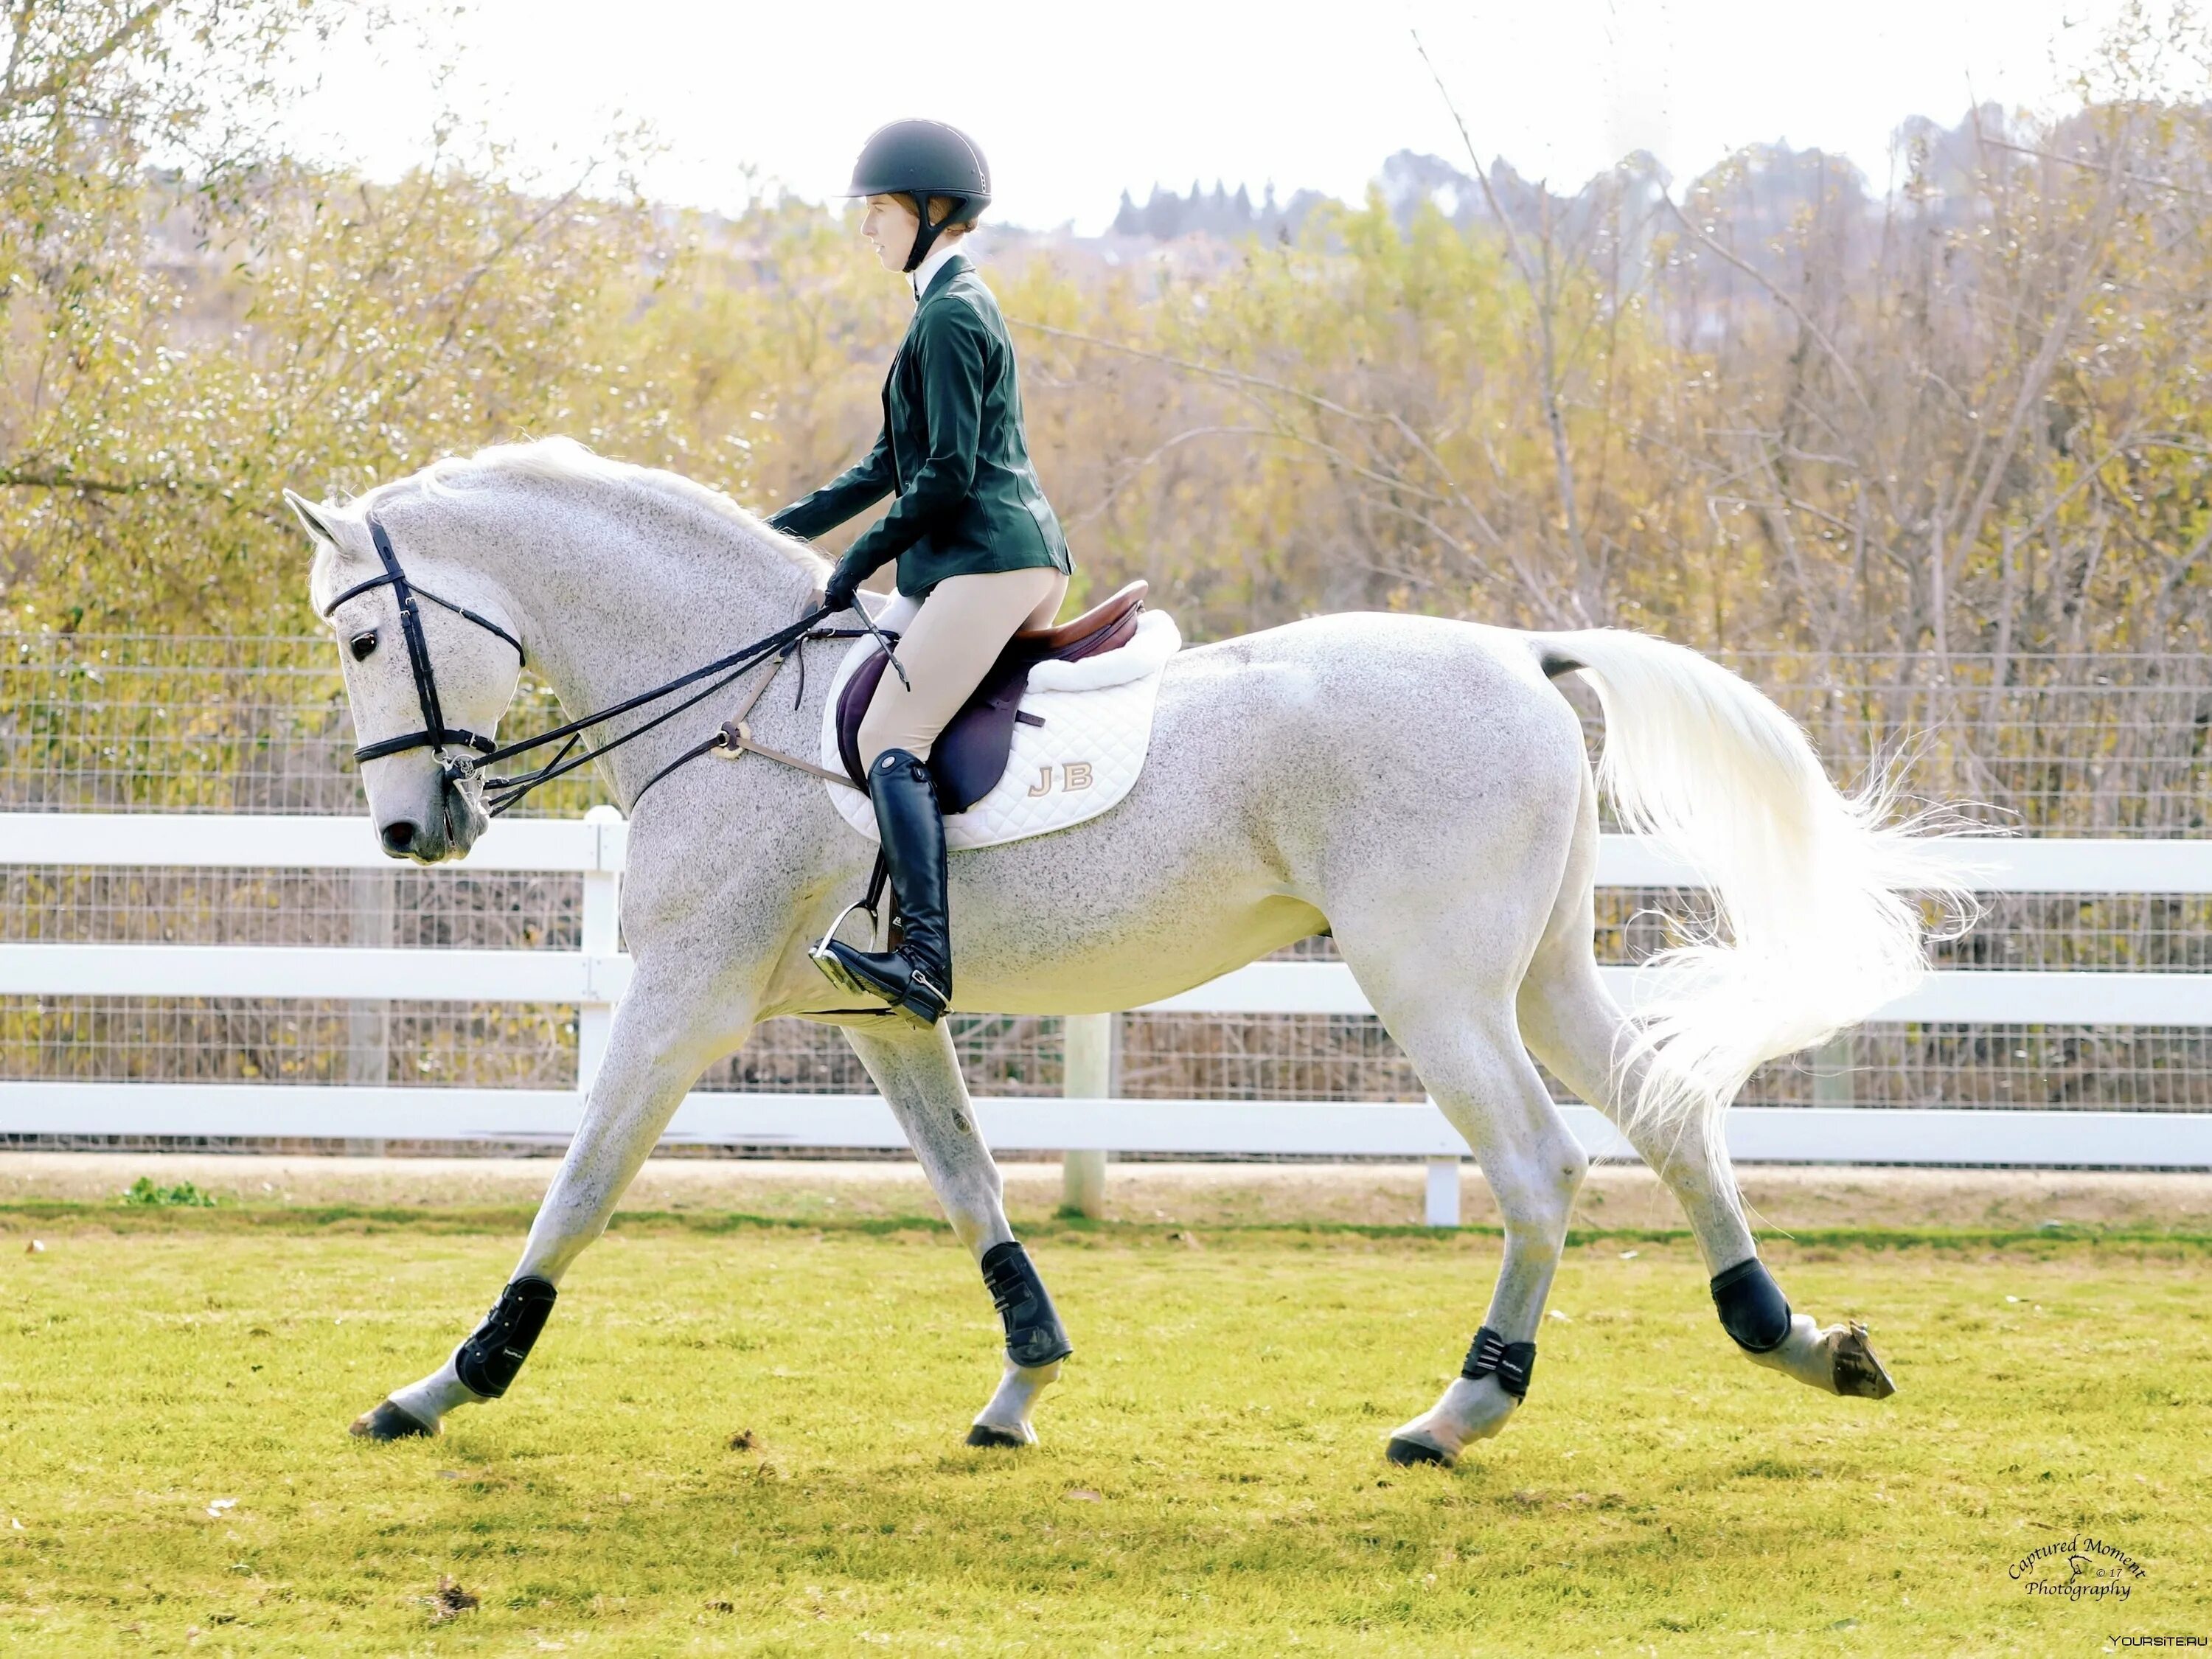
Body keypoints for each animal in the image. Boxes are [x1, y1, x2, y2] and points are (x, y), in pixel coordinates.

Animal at [290, 442, 1955, 1469]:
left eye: (363, 642)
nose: (413, 832)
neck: (737, 699)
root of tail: (1523, 654)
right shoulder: (886, 1023)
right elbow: (970, 1187)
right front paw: (1022, 1383)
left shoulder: (685, 1001)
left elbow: (575, 1192)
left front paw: (444, 1383)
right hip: (1538, 975)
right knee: (1668, 1114)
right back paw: (1798, 1340)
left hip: (1432, 985)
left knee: (1544, 1169)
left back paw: (1459, 1413)